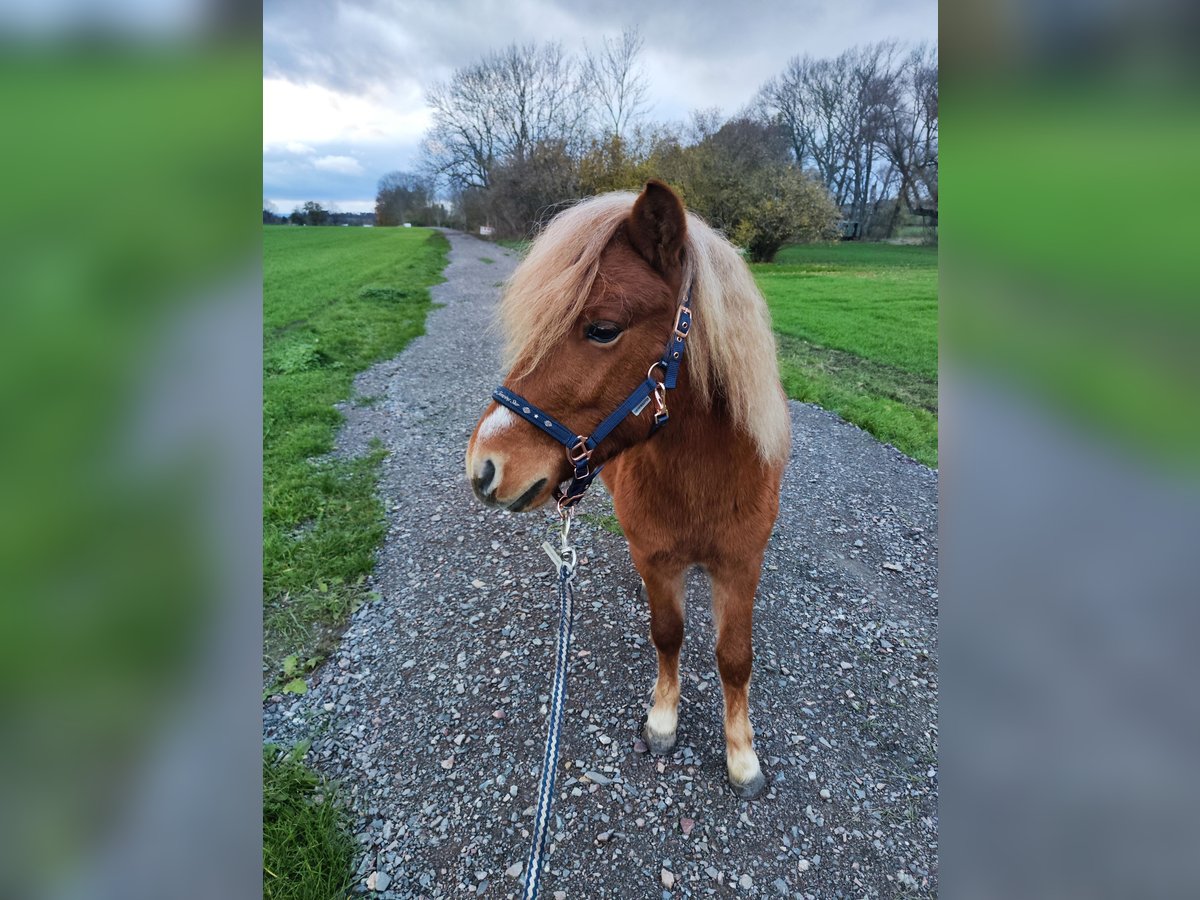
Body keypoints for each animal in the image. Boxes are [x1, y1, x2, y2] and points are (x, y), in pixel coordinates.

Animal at [463, 180, 792, 801]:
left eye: (603, 328)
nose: (484, 467)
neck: (705, 479)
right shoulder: (657, 560)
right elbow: (668, 634)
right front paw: (663, 722)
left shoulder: (740, 565)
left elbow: (735, 658)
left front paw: (742, 756)